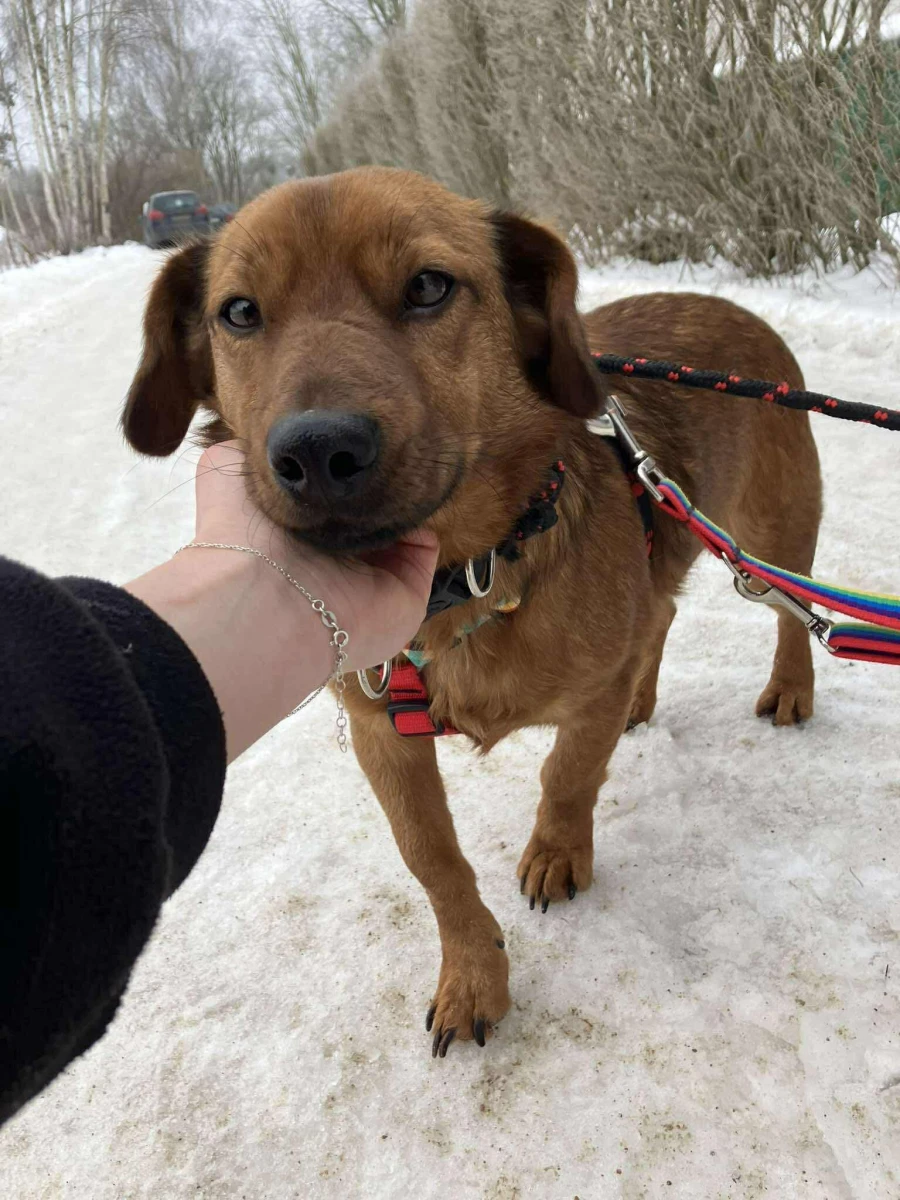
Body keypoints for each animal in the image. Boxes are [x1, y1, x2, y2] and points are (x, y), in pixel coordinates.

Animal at [122, 166, 822, 1057]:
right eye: (239, 312)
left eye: (429, 286)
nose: (316, 452)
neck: (465, 581)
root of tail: (729, 305)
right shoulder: (384, 735)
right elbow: (432, 859)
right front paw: (473, 975)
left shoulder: (582, 699)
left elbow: (567, 774)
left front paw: (557, 852)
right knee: (660, 617)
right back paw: (644, 698)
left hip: (773, 528)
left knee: (789, 610)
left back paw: (790, 687)